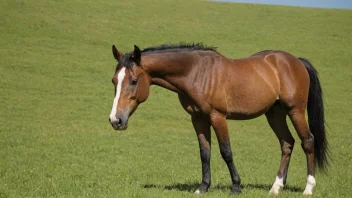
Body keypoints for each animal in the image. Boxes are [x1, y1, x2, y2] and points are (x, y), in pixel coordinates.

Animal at [106, 42, 328, 196]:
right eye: (114, 80)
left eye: (134, 80)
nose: (116, 120)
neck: (196, 72)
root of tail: (295, 61)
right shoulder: (198, 119)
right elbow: (205, 153)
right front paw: (202, 187)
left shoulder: (218, 117)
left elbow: (226, 152)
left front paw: (236, 186)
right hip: (275, 113)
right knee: (287, 143)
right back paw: (276, 187)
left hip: (295, 110)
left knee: (308, 141)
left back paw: (308, 188)